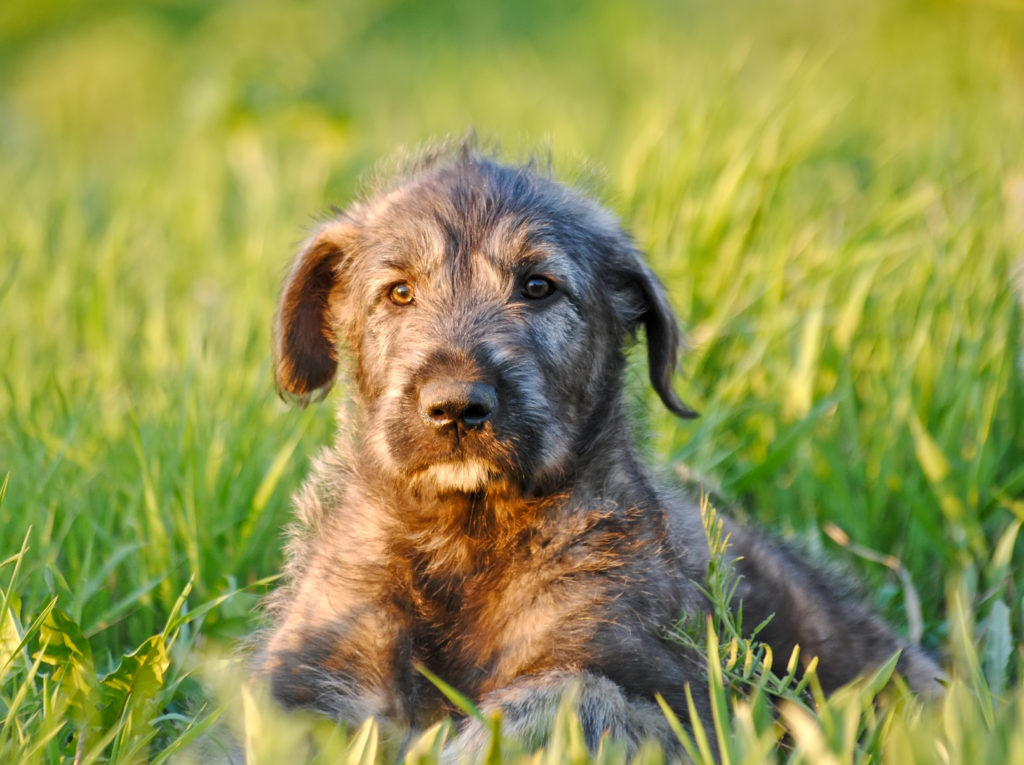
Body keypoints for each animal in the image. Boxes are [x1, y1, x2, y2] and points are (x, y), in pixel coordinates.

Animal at [256, 143, 942, 761]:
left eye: (538, 286)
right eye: (398, 292)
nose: (455, 407)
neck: (465, 534)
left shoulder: (674, 698)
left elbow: (568, 694)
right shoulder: (311, 668)